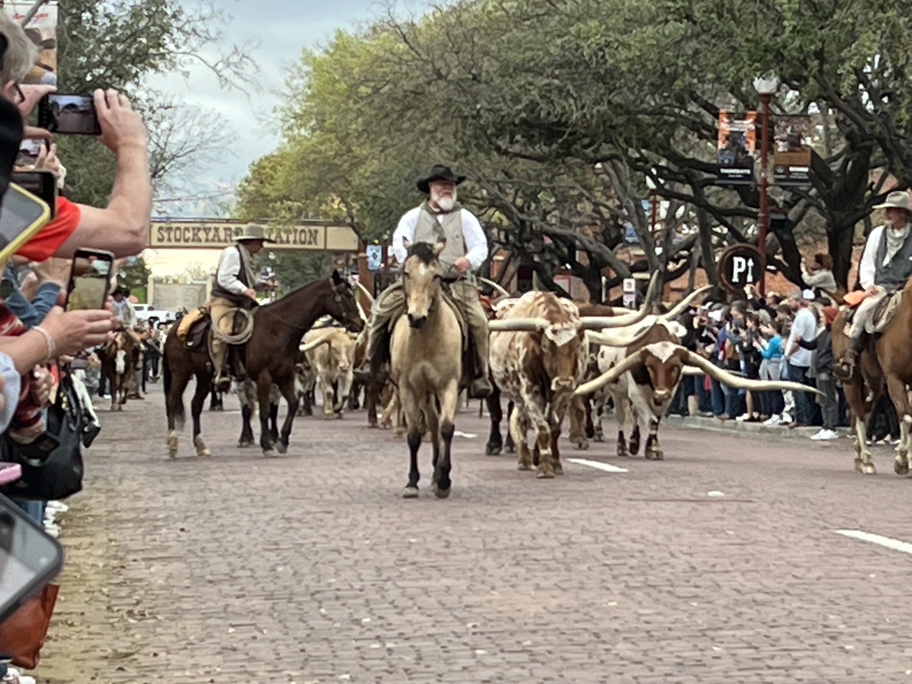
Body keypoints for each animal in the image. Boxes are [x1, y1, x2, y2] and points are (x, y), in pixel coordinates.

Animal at [164, 272, 364, 460]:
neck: (277, 329)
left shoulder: (284, 376)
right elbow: (265, 410)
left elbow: (292, 403)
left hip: (204, 376)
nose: (360, 323)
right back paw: (172, 443)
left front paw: (282, 441)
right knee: (172, 402)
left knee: (195, 405)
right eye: (346, 295)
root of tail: (174, 329)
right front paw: (267, 445)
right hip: (180, 373)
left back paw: (201, 446)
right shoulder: (263, 377)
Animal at [390, 239, 464, 496]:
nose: (417, 317)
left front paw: (444, 479)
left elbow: (447, 429)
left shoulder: (449, 385)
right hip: (423, 393)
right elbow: (413, 435)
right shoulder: (408, 388)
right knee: (430, 421)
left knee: (436, 424)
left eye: (435, 276)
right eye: (406, 273)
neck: (426, 340)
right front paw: (412, 482)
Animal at [832, 278, 912, 476]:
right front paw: (901, 461)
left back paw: (859, 457)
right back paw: (866, 460)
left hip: (875, 385)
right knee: (859, 415)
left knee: (863, 413)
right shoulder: (894, 379)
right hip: (852, 382)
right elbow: (907, 417)